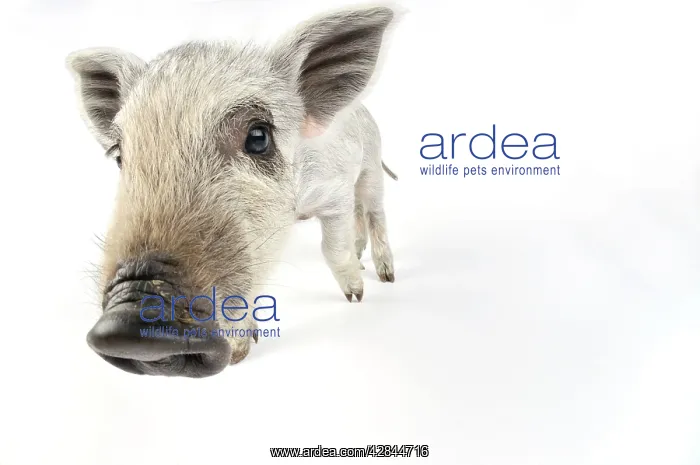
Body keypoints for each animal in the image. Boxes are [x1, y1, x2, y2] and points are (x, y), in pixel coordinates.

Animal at [66, 6, 399, 377]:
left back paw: (385, 276)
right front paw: (242, 351)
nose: (133, 319)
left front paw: (355, 296)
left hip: (371, 167)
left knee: (373, 211)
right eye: (120, 156)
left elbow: (333, 249)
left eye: (258, 137)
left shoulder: (334, 193)